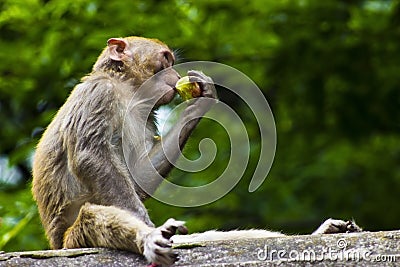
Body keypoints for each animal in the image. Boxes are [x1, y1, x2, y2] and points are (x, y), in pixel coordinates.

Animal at [32, 36, 362, 267]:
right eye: (165, 60)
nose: (172, 75)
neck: (126, 89)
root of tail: (55, 243)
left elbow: (139, 176)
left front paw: (200, 103)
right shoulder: (99, 93)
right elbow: (90, 155)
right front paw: (146, 225)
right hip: (71, 241)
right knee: (90, 217)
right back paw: (149, 238)